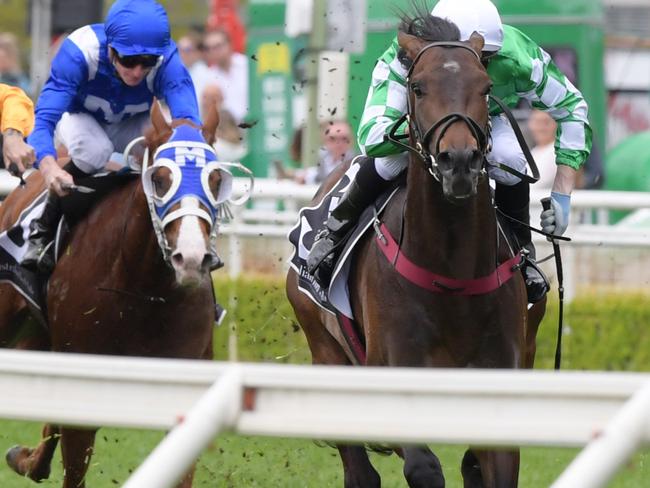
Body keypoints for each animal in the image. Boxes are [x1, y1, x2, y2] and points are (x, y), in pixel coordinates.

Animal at [286, 13, 544, 488]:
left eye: (485, 87)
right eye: (419, 87)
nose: (458, 162)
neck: (453, 274)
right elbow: (423, 467)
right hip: (323, 346)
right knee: (360, 472)